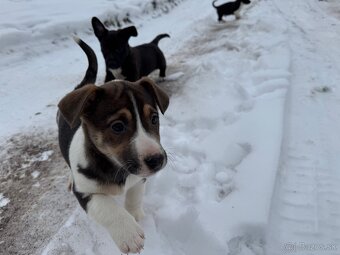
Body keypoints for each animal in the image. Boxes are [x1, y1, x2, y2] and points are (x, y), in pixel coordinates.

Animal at [59, 36, 170, 254]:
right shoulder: (84, 192)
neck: (116, 167)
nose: (157, 160)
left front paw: (134, 216)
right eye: (118, 126)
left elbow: (135, 195)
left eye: (154, 119)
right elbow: (106, 207)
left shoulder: (138, 178)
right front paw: (128, 232)